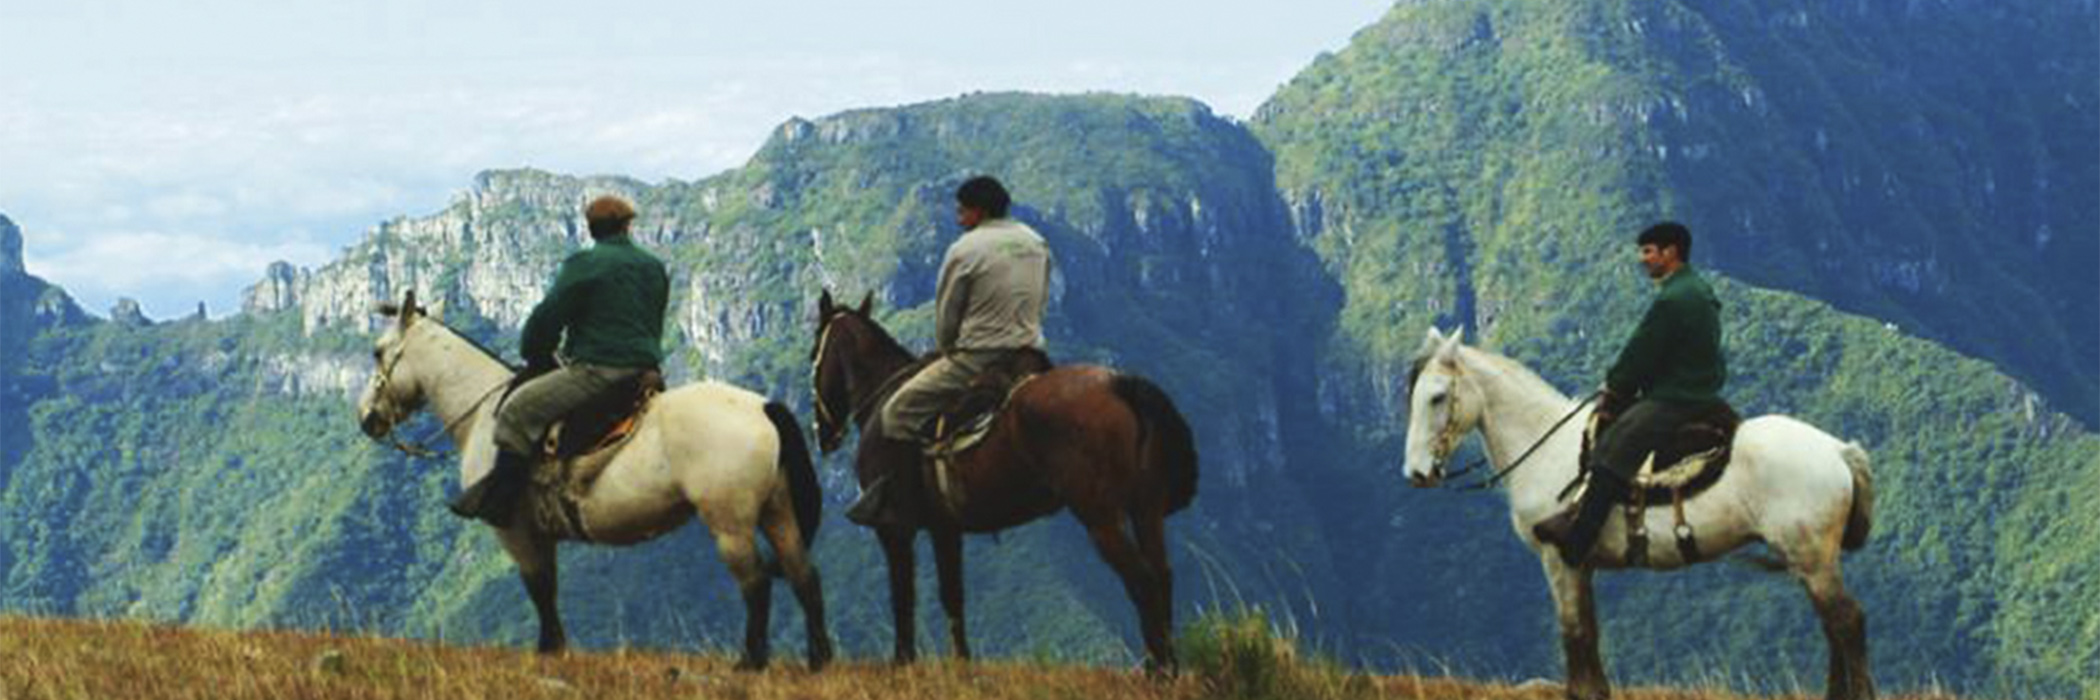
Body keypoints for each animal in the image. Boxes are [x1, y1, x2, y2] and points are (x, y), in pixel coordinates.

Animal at [352, 290, 827, 672]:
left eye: (378, 351)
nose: (366, 418)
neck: (484, 413)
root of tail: (763, 407)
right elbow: (548, 586)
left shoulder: (515, 531)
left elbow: (539, 587)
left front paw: (548, 649)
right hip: (777, 511)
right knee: (803, 574)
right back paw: (818, 658)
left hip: (730, 522)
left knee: (756, 582)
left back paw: (752, 660)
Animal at [806, 290, 1201, 672]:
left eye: (813, 355)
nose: (822, 433)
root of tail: (1121, 382)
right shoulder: (945, 528)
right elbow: (952, 595)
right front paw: (962, 665)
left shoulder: (894, 529)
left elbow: (902, 595)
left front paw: (902, 662)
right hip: (1145, 509)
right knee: (1162, 575)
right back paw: (1168, 667)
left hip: (1100, 516)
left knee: (1142, 581)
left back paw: (1156, 671)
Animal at [1402, 327, 1881, 697]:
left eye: (1438, 397)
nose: (1417, 473)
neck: (1546, 449)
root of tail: (1839, 449)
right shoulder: (1582, 564)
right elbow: (1589, 635)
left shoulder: (1559, 559)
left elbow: (1574, 634)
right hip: (1808, 559)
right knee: (1833, 626)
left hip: (1811, 555)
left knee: (1847, 621)